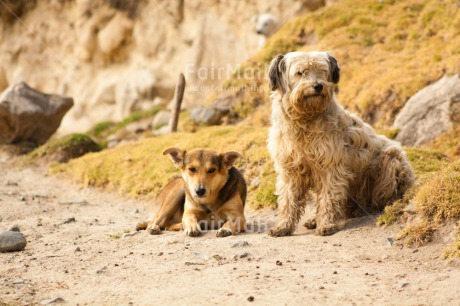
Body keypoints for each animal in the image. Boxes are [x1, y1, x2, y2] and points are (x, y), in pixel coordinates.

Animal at [266, 50, 414, 237]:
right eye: (300, 72)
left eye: (322, 71)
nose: (318, 86)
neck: (305, 120)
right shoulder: (290, 170)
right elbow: (288, 200)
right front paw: (283, 226)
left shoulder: (331, 167)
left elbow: (329, 197)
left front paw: (327, 224)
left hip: (391, 161)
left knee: (381, 197)